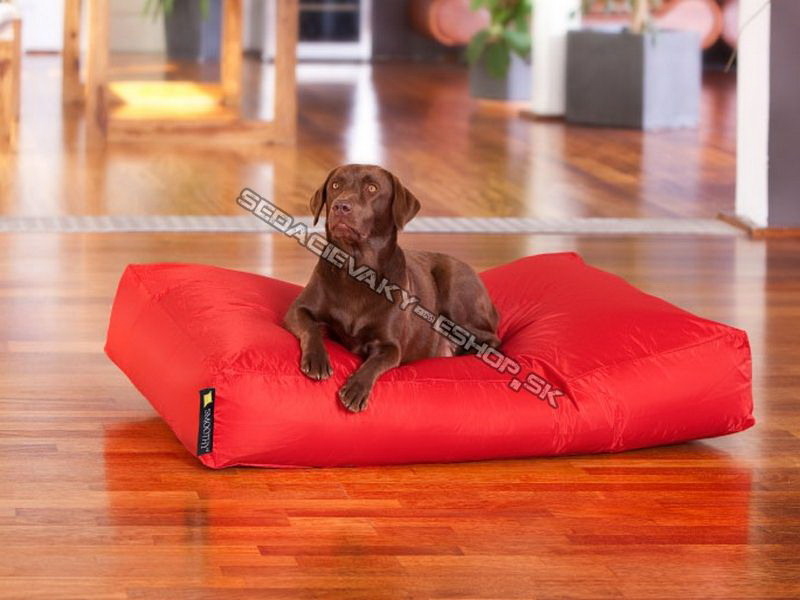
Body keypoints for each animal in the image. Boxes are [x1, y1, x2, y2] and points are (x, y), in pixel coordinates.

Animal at [283, 164, 500, 412]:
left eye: (372, 188)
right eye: (336, 185)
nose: (341, 206)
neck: (356, 270)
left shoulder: (390, 345)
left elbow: (376, 362)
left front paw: (356, 389)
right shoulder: (297, 310)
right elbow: (311, 327)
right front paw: (317, 360)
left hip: (454, 285)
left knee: (491, 339)